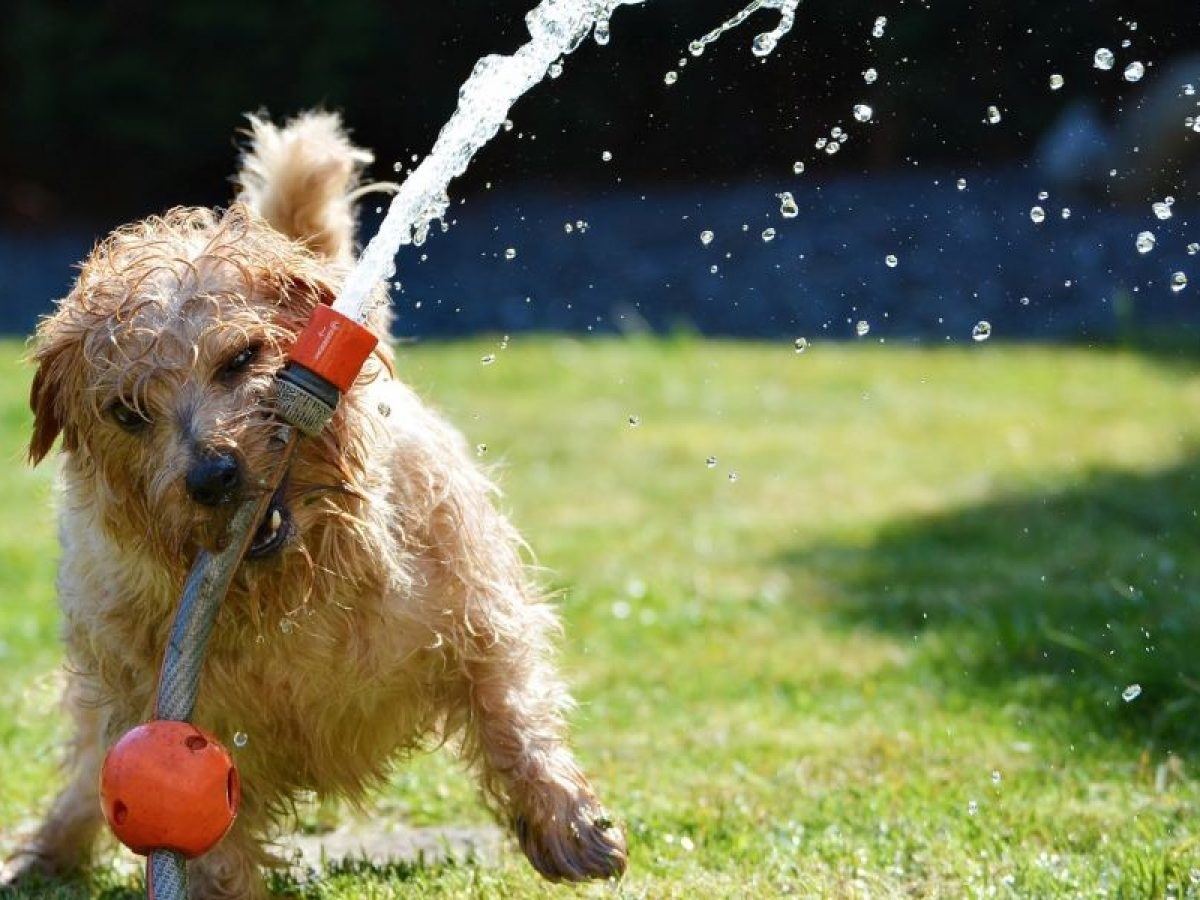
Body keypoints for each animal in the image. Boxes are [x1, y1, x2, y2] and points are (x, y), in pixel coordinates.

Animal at [11, 114, 628, 900]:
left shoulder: (479, 614)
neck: (294, 590)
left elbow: (511, 713)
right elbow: (211, 840)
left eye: (242, 358)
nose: (213, 475)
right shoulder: (181, 717)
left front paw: (567, 823)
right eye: (127, 411)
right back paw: (45, 851)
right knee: (87, 769)